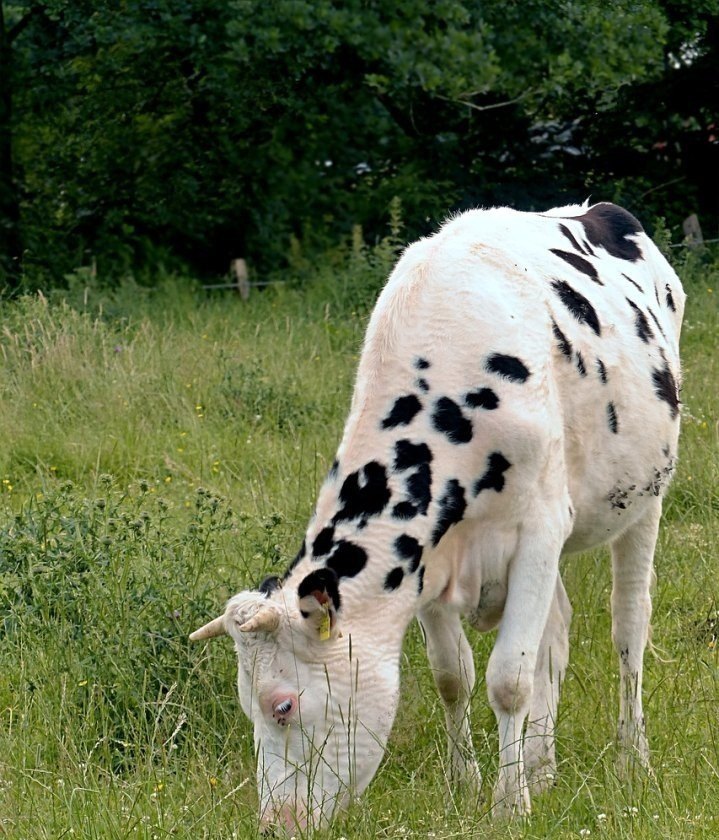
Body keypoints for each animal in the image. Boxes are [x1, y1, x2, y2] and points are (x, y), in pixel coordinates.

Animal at [191, 202, 688, 832]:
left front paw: (509, 805)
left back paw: (631, 758)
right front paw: (466, 783)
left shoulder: (540, 529)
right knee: (557, 631)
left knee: (628, 625)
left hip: (644, 497)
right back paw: (542, 767)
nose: (277, 822)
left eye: (282, 705)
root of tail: (596, 208)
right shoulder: (427, 558)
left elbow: (509, 678)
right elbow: (454, 674)